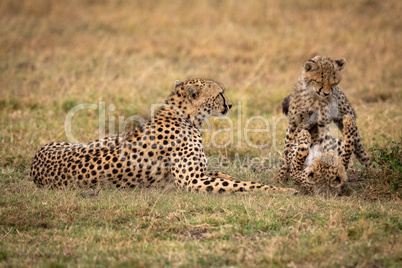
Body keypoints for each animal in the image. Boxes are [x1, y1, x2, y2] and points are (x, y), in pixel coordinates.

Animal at [30, 78, 298, 194]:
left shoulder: (202, 172)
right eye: (220, 94)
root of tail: (36, 160)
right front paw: (281, 191)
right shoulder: (192, 180)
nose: (230, 105)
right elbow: (240, 185)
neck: (186, 118)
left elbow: (228, 176)